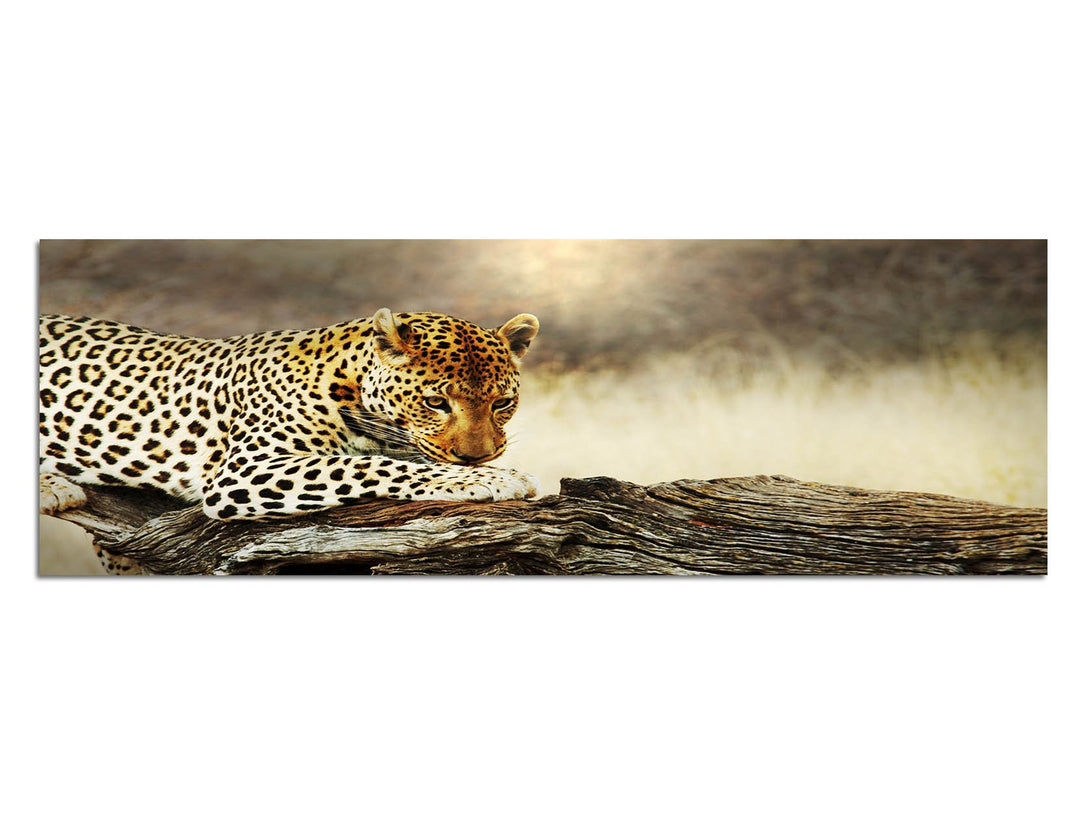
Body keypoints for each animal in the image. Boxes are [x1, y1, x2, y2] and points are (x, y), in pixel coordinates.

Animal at [39, 308, 541, 573]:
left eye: (501, 403)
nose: (476, 457)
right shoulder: (246, 469)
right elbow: (364, 465)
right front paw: (495, 479)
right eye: (436, 402)